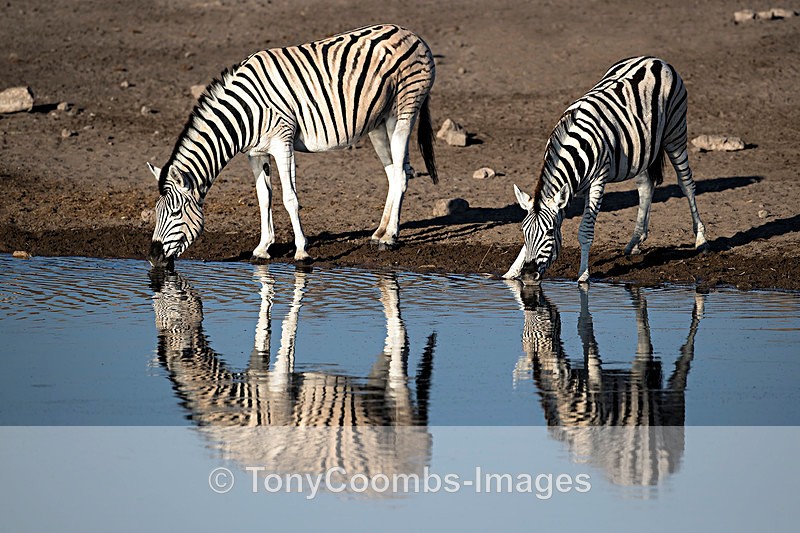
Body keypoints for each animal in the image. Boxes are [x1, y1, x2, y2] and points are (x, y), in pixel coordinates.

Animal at [147, 24, 437, 268]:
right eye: (157, 212)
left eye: (175, 213)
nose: (152, 258)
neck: (245, 113)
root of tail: (409, 32)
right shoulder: (256, 153)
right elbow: (264, 197)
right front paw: (263, 248)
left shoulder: (282, 142)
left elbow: (289, 198)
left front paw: (301, 251)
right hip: (377, 123)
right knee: (394, 174)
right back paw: (379, 233)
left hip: (402, 113)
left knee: (401, 174)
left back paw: (390, 238)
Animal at [504, 56, 708, 283]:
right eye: (523, 231)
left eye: (549, 233)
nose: (529, 275)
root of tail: (654, 59)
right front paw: (511, 272)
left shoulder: (597, 181)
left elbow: (585, 231)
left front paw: (583, 276)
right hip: (642, 149)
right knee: (646, 187)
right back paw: (635, 241)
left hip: (676, 132)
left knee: (686, 183)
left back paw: (701, 240)